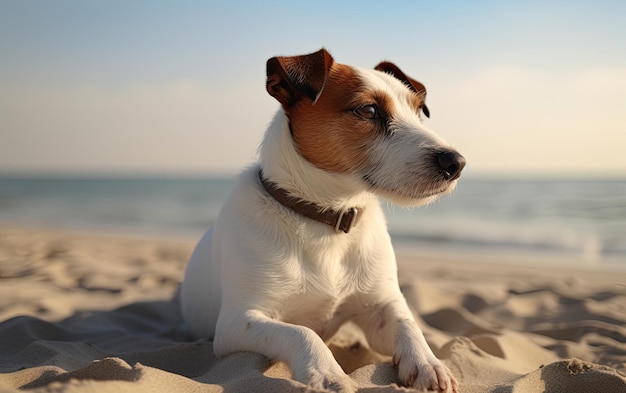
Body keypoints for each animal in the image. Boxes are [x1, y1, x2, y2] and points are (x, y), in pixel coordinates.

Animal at [180, 47, 464, 390]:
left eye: (419, 111)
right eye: (368, 110)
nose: (456, 163)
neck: (328, 218)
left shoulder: (381, 307)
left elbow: (408, 325)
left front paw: (427, 363)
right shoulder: (238, 321)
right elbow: (302, 333)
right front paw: (328, 374)